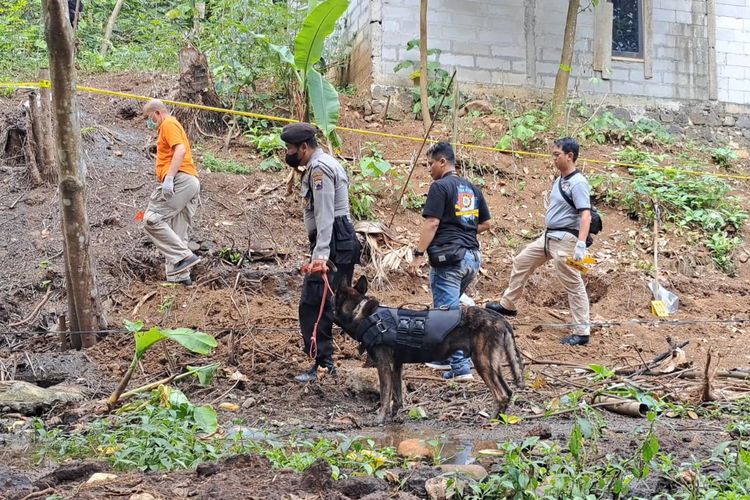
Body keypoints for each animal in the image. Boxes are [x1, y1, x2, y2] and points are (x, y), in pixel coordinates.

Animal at [334, 276, 524, 424]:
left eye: (334, 299)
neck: (364, 313)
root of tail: (500, 319)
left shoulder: (384, 366)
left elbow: (385, 396)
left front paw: (380, 419)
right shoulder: (396, 366)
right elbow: (397, 397)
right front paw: (394, 417)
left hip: (482, 363)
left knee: (501, 394)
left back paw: (491, 420)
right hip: (492, 365)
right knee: (508, 392)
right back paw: (499, 419)